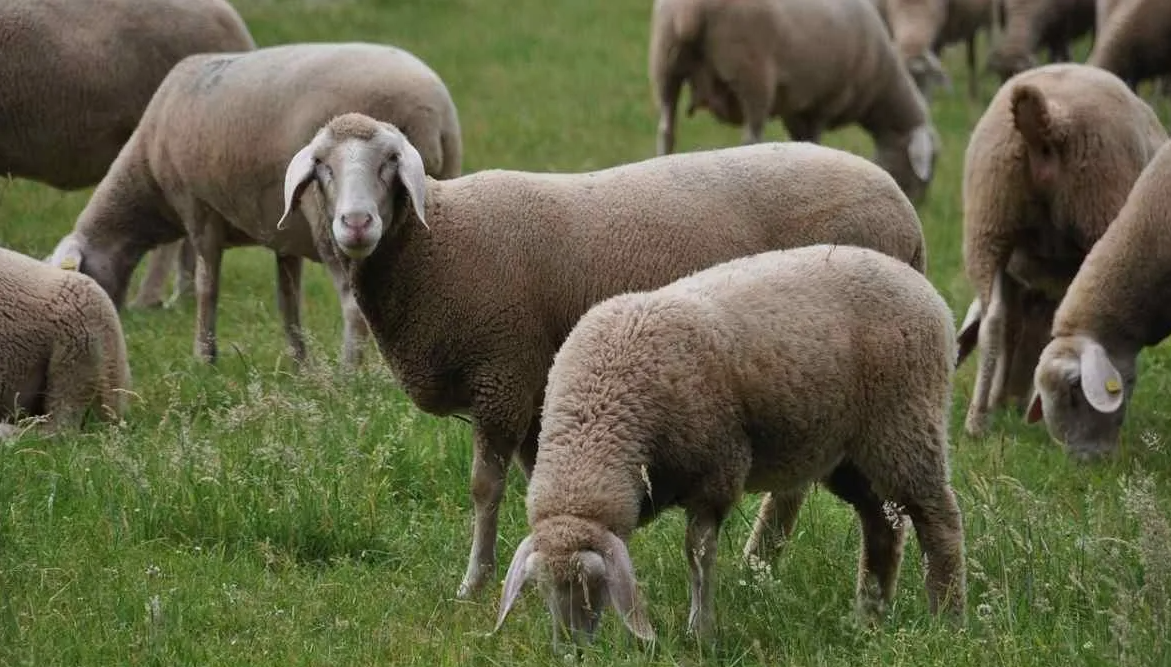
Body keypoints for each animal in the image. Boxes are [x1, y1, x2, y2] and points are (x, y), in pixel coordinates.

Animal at [45, 42, 462, 370]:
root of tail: (434, 110)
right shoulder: (284, 235)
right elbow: (287, 299)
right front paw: (299, 363)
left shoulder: (198, 210)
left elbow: (207, 286)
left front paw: (204, 358)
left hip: (331, 220)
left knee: (352, 302)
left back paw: (349, 376)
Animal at [277, 113, 930, 599]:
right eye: (323, 167)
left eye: (390, 163)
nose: (356, 223)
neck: (438, 244)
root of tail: (904, 210)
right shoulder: (534, 384)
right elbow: (535, 479)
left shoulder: (501, 374)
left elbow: (485, 488)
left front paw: (473, 585)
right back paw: (760, 565)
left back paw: (767, 564)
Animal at [491, 244, 965, 646]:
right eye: (542, 588)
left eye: (595, 584)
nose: (570, 649)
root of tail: (925, 290)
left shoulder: (717, 472)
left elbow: (698, 554)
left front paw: (700, 633)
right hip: (849, 452)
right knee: (881, 522)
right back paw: (867, 616)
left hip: (905, 426)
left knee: (938, 519)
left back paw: (946, 618)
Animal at [648, 0, 941, 204]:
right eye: (928, 167)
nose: (919, 204)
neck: (880, 80)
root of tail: (690, 10)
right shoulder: (826, 102)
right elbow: (814, 141)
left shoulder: (797, 107)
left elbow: (799, 141)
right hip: (753, 73)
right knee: (750, 138)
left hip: (666, 61)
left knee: (666, 130)